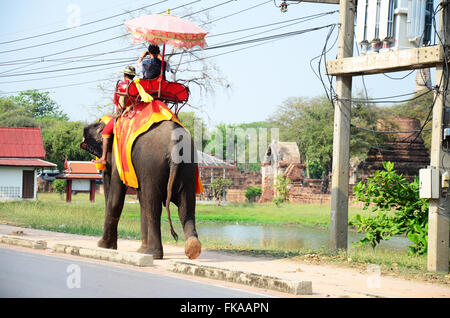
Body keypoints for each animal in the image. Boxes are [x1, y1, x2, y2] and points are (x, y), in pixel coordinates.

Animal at [80, 118, 201, 260]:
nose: (100, 163)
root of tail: (174, 144)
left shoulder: (120, 159)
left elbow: (116, 199)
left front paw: (102, 246)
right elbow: (141, 200)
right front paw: (139, 251)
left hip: (152, 165)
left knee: (153, 207)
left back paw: (153, 254)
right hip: (188, 165)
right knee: (186, 207)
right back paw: (192, 249)